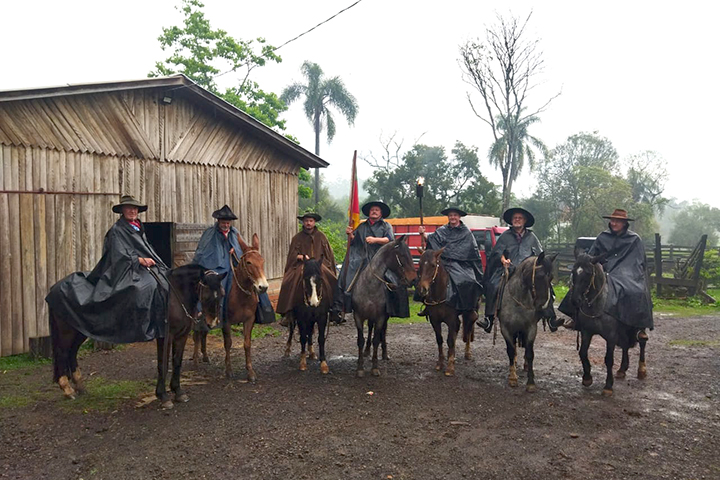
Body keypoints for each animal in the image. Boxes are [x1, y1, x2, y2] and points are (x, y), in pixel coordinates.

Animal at [50, 262, 225, 408]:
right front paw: (163, 396)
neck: (175, 295)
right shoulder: (165, 337)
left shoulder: (181, 335)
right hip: (67, 332)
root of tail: (54, 288)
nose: (213, 323)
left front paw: (178, 392)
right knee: (62, 353)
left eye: (222, 294)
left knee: (71, 353)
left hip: (80, 331)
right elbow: (163, 364)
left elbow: (177, 362)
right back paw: (68, 390)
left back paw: (81, 388)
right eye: (207, 295)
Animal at [350, 234, 416, 376]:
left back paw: (385, 354)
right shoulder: (358, 316)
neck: (369, 286)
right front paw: (360, 367)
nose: (414, 279)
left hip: (384, 317)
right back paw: (366, 351)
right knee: (370, 329)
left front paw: (375, 367)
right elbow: (360, 340)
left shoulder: (380, 317)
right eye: (402, 255)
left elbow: (376, 339)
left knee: (383, 332)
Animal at [498, 253, 560, 392]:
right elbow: (511, 350)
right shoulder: (506, 329)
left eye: (551, 277)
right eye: (540, 275)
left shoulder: (531, 328)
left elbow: (530, 353)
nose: (544, 308)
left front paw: (531, 382)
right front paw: (513, 378)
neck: (518, 302)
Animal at [568, 253, 648, 396]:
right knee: (625, 345)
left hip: (639, 324)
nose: (575, 300)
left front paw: (608, 386)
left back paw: (641, 370)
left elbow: (609, 359)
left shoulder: (611, 336)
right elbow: (583, 352)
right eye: (573, 271)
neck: (598, 304)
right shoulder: (586, 332)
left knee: (642, 342)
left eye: (588, 273)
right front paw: (587, 378)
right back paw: (622, 369)